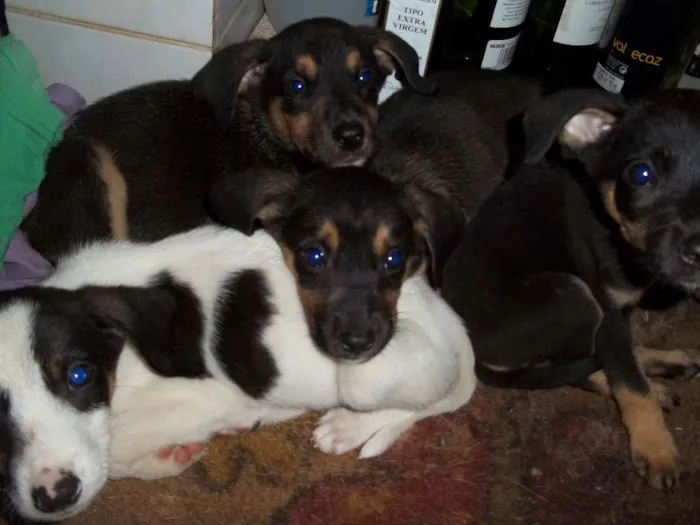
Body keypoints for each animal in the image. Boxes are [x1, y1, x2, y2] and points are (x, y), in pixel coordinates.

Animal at [0, 168, 476, 520]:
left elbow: (114, 448)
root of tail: (452, 322)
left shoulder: (204, 394)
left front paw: (166, 458)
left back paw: (346, 426)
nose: (54, 496)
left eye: (79, 375)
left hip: (367, 375)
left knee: (417, 401)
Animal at [440, 88, 700, 490]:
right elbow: (629, 384)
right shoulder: (606, 307)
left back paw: (667, 361)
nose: (699, 251)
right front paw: (656, 449)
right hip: (572, 295)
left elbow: (624, 361)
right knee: (578, 369)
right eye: (641, 174)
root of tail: (476, 352)